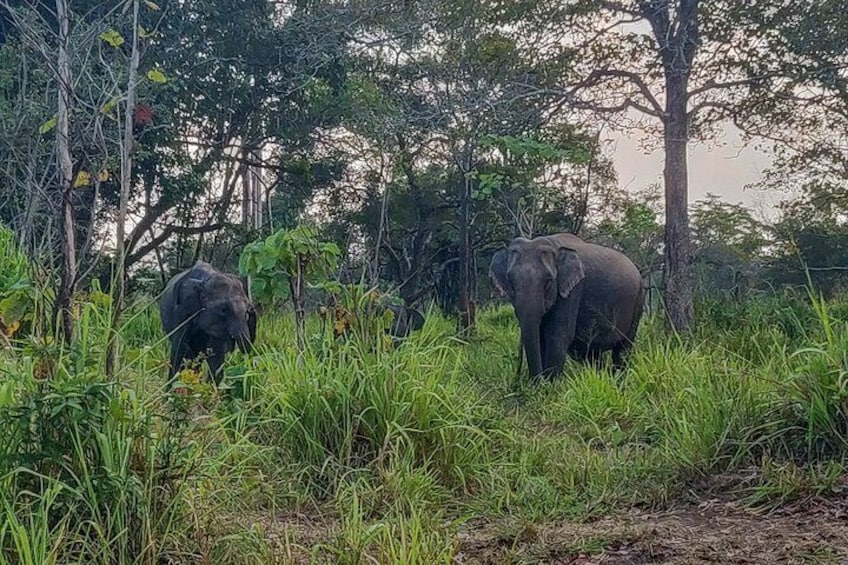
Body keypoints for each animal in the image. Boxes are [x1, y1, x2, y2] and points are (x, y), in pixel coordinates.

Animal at [490, 231, 644, 382]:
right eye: (510, 281)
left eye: (548, 280)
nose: (519, 380)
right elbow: (541, 337)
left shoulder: (572, 292)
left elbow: (558, 336)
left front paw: (550, 386)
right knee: (592, 355)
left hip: (638, 300)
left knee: (622, 350)